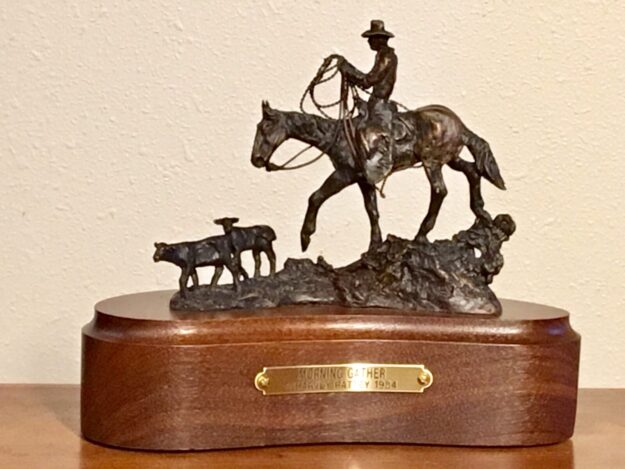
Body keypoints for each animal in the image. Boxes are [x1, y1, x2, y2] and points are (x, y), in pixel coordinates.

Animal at [249, 100, 502, 250]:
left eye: (264, 128)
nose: (256, 160)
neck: (337, 135)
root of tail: (459, 124)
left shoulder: (344, 174)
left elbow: (316, 197)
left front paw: (305, 237)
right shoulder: (363, 179)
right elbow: (372, 210)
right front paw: (375, 245)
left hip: (433, 163)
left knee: (440, 191)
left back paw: (420, 236)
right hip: (451, 159)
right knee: (473, 171)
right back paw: (482, 214)